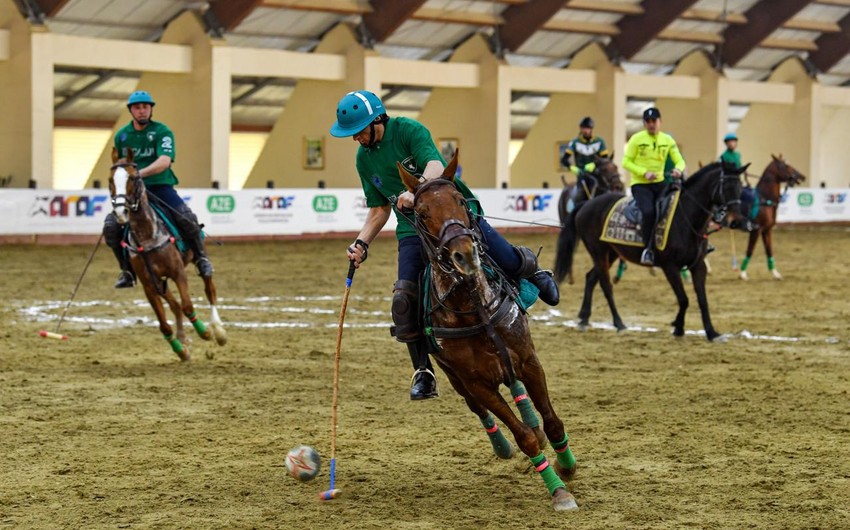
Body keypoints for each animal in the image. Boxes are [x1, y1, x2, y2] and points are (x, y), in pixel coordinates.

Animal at [108, 147, 225, 358]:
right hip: (160, 282)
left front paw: (205, 332)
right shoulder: (149, 284)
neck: (147, 236)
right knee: (174, 305)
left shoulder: (178, 272)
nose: (121, 213)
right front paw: (181, 350)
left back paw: (219, 331)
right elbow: (164, 323)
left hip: (196, 256)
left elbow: (188, 305)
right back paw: (183, 339)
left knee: (209, 290)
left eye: (133, 178)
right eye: (110, 180)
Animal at [398, 153, 576, 512]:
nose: (464, 254)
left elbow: (552, 421)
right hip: (454, 377)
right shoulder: (476, 382)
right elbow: (523, 437)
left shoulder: (529, 360)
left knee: (518, 388)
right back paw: (501, 446)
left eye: (459, 200)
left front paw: (567, 467)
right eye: (421, 214)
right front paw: (558, 491)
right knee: (479, 409)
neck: (476, 308)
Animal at [568, 161, 744, 340]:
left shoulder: (698, 266)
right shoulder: (670, 267)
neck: (686, 219)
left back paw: (584, 319)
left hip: (611, 253)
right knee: (606, 286)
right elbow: (684, 299)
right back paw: (619, 323)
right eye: (726, 187)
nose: (736, 221)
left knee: (591, 278)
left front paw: (712, 332)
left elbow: (702, 300)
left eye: (740, 187)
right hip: (598, 252)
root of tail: (587, 204)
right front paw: (678, 327)